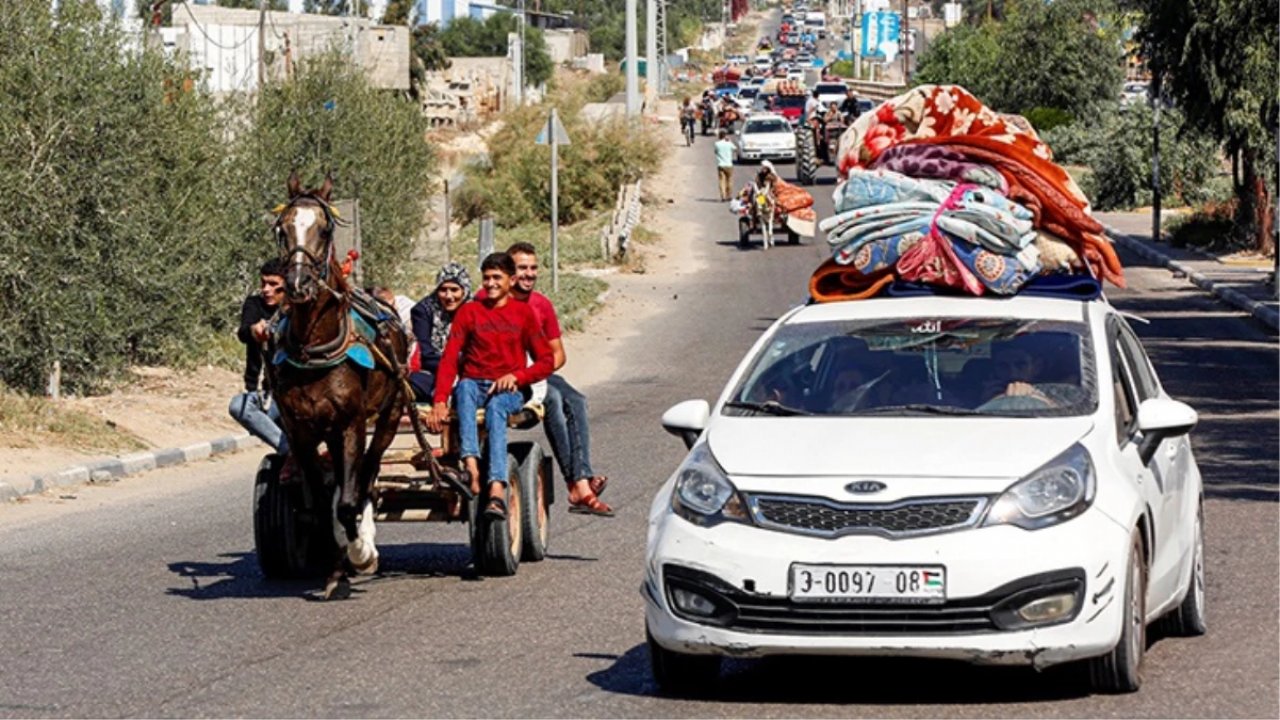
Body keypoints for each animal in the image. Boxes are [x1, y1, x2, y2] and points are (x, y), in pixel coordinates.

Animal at [264, 170, 409, 597]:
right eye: (282, 227)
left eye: (324, 228)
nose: (297, 284)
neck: (315, 349)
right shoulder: (300, 429)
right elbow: (316, 503)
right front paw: (333, 564)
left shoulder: (351, 423)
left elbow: (348, 499)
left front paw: (359, 552)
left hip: (390, 414)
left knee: (367, 475)